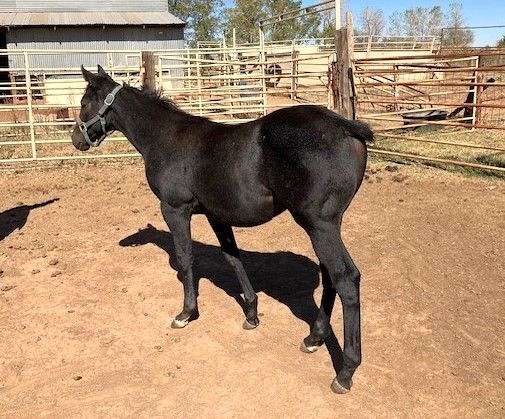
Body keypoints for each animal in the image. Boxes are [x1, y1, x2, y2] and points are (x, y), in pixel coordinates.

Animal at [71, 65, 372, 394]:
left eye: (84, 102)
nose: (76, 139)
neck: (166, 138)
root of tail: (345, 126)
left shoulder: (175, 210)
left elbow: (186, 260)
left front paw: (186, 313)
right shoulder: (217, 216)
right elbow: (233, 258)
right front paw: (252, 314)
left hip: (320, 224)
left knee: (345, 278)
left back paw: (345, 372)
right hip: (324, 227)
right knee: (330, 275)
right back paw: (314, 338)